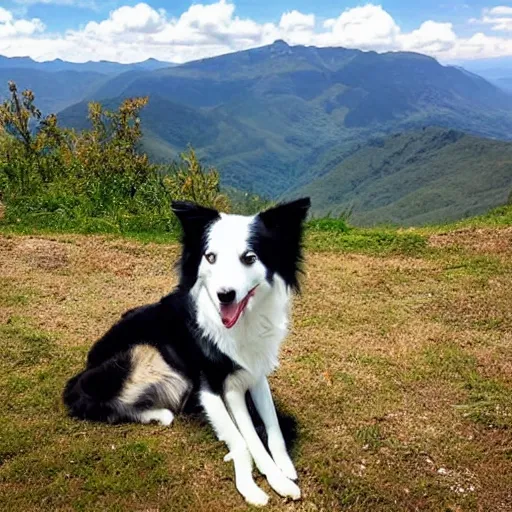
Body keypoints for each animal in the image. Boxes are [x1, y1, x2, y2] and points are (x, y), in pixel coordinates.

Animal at [64, 198, 312, 506]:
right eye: (211, 257)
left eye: (249, 258)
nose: (224, 295)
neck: (243, 323)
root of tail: (83, 369)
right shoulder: (218, 387)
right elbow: (246, 441)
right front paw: (259, 484)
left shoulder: (254, 374)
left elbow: (273, 426)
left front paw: (284, 468)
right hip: (138, 356)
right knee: (99, 404)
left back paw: (160, 414)